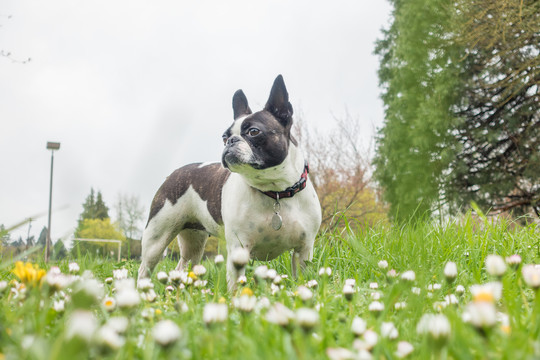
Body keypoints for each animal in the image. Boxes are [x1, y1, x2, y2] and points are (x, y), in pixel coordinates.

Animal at [138, 74, 320, 288]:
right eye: (224, 136)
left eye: (254, 132)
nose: (231, 141)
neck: (275, 191)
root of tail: (176, 172)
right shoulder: (238, 247)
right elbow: (236, 284)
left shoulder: (304, 251)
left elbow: (302, 280)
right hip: (156, 237)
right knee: (145, 268)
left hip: (194, 242)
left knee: (183, 266)